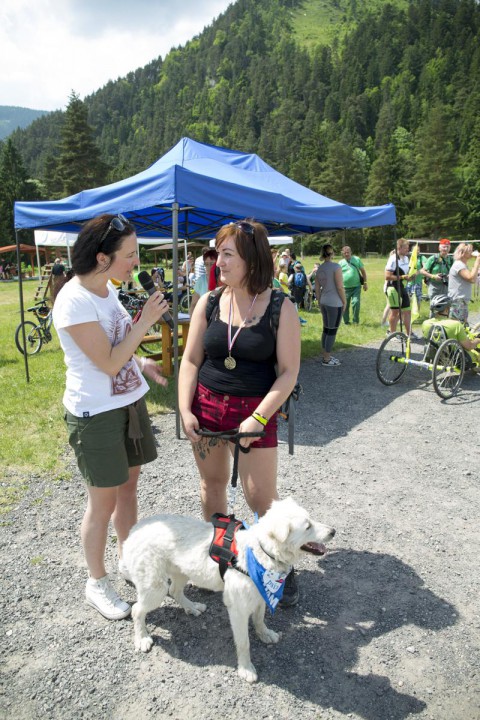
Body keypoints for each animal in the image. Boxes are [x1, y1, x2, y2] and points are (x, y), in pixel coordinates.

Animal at [122, 497, 335, 683]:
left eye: (311, 519)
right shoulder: (238, 609)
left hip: (181, 572)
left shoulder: (260, 596)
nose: (333, 531)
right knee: (138, 610)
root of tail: (133, 531)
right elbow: (244, 643)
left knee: (175, 591)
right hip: (154, 588)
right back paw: (142, 638)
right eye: (307, 526)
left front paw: (265, 634)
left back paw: (192, 607)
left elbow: (259, 620)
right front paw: (246, 669)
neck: (260, 552)